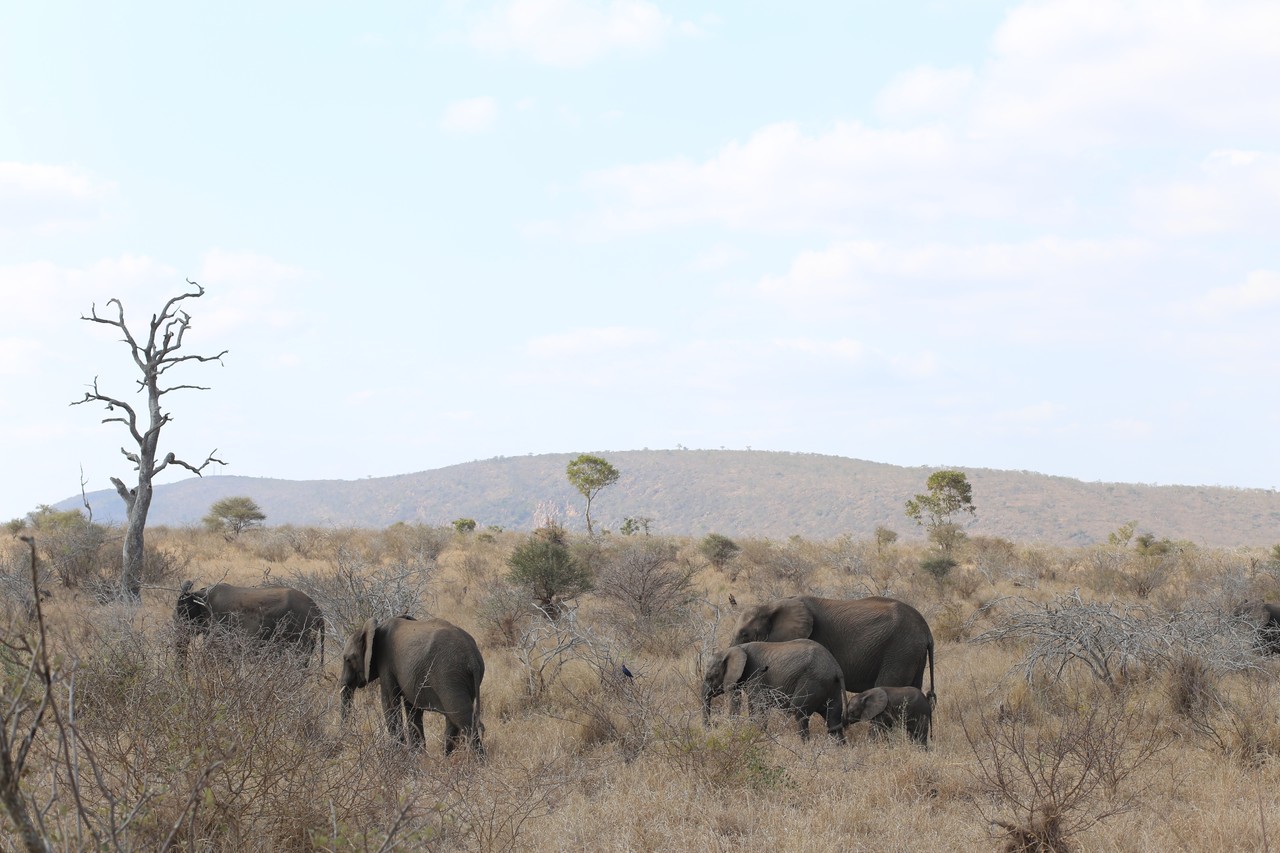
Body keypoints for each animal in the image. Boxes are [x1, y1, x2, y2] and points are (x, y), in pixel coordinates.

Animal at [340, 615, 485, 755]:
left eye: (347, 659)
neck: (374, 629)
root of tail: (472, 657)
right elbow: (412, 708)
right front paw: (417, 756)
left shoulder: (386, 665)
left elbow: (389, 703)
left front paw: (398, 756)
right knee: (453, 719)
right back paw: (445, 758)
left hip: (449, 676)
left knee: (462, 719)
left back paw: (479, 761)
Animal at [701, 639, 845, 741]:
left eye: (709, 677)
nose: (713, 725)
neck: (735, 649)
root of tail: (837, 669)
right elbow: (753, 706)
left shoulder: (756, 675)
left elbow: (759, 705)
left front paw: (756, 735)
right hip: (831, 686)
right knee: (833, 718)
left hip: (812, 681)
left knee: (799, 713)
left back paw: (805, 745)